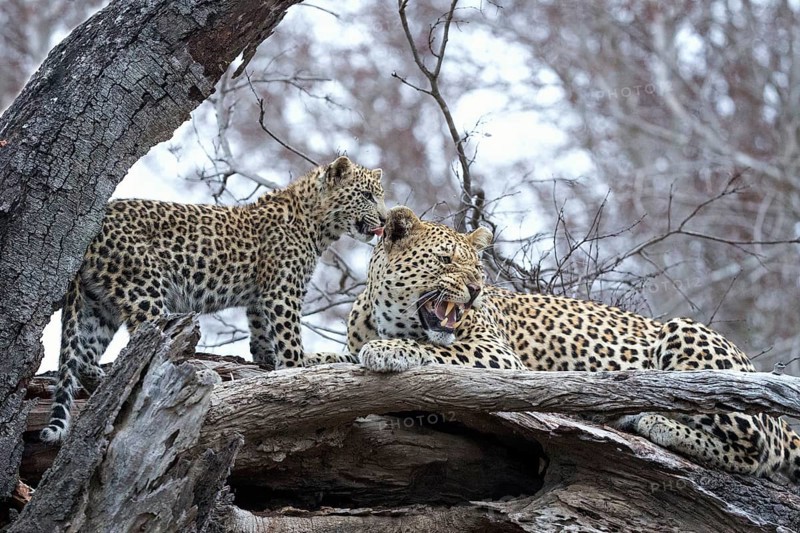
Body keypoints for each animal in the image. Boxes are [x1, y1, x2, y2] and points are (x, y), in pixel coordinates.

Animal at [40, 156, 387, 444]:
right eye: (367, 195)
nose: (385, 219)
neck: (317, 222)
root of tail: (92, 228)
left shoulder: (260, 298)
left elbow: (261, 337)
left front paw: (271, 363)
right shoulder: (282, 292)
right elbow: (289, 341)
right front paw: (297, 370)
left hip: (99, 304)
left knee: (84, 358)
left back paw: (107, 385)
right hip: (144, 290)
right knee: (146, 349)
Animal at [345, 205, 800, 483]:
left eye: (478, 267)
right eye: (445, 261)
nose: (475, 290)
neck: (387, 314)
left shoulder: (498, 355)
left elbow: (439, 350)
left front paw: (389, 350)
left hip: (684, 334)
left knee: (756, 451)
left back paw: (655, 422)